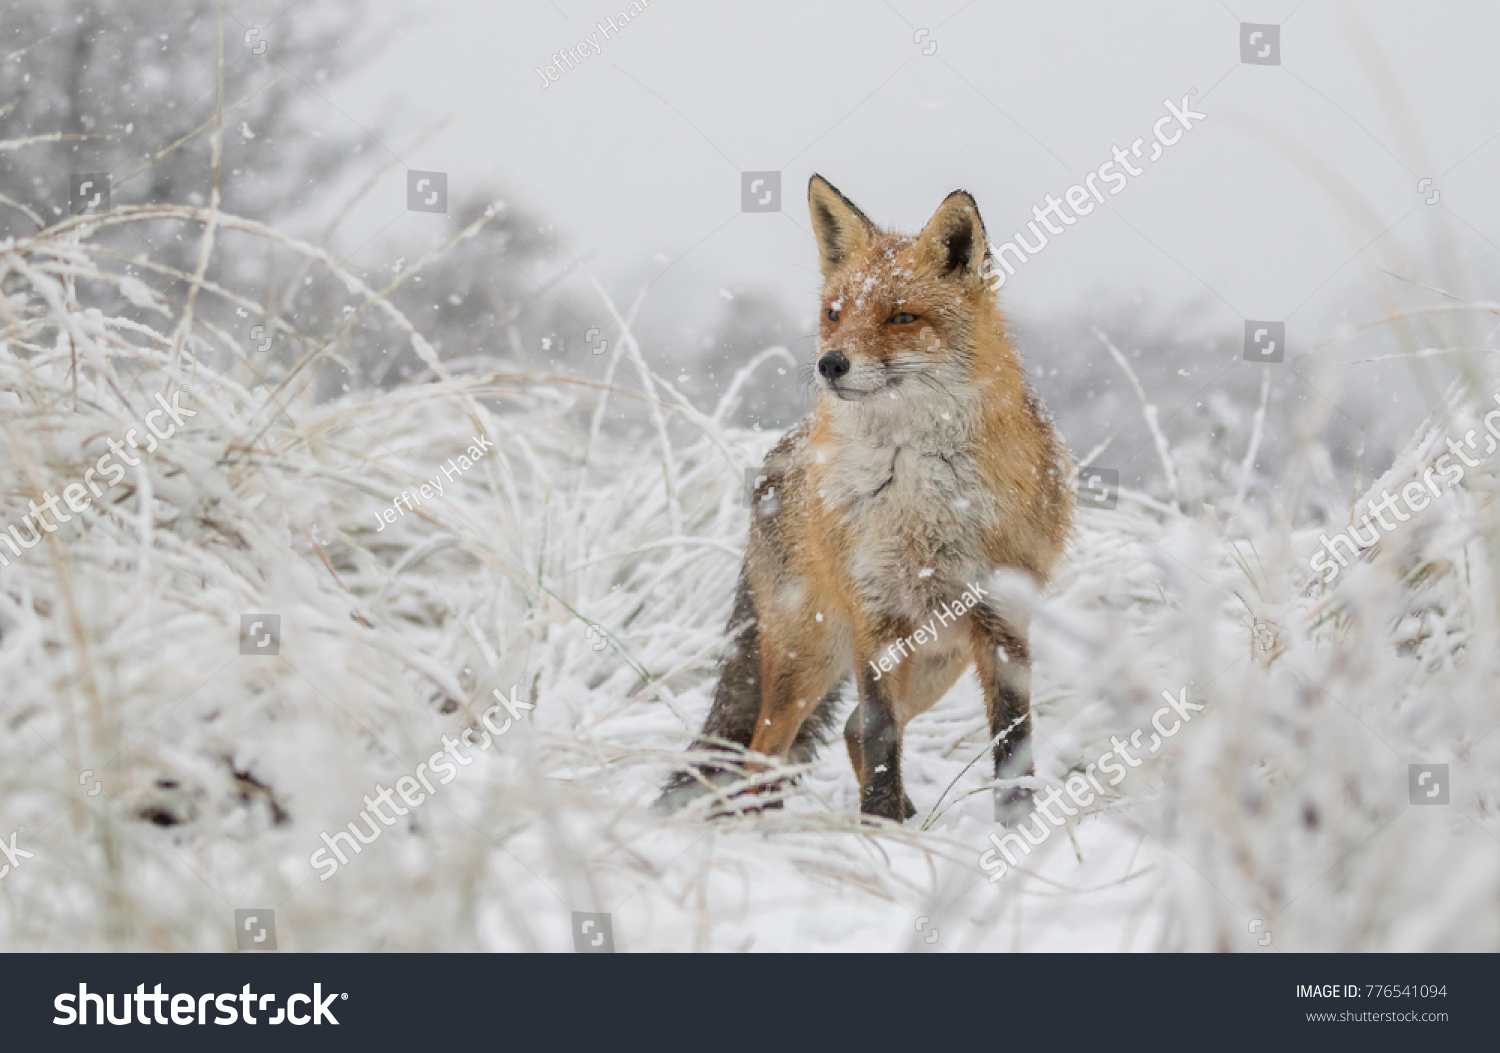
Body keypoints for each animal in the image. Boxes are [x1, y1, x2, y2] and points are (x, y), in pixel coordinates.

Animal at [657, 175, 1074, 824]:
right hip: (810, 655)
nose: (830, 364)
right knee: (763, 750)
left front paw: (1019, 830)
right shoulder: (874, 613)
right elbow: (882, 734)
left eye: (901, 316)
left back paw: (903, 821)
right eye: (834, 314)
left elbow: (1012, 741)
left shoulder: (1003, 616)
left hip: (937, 661)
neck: (921, 503)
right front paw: (877, 826)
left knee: (845, 729)